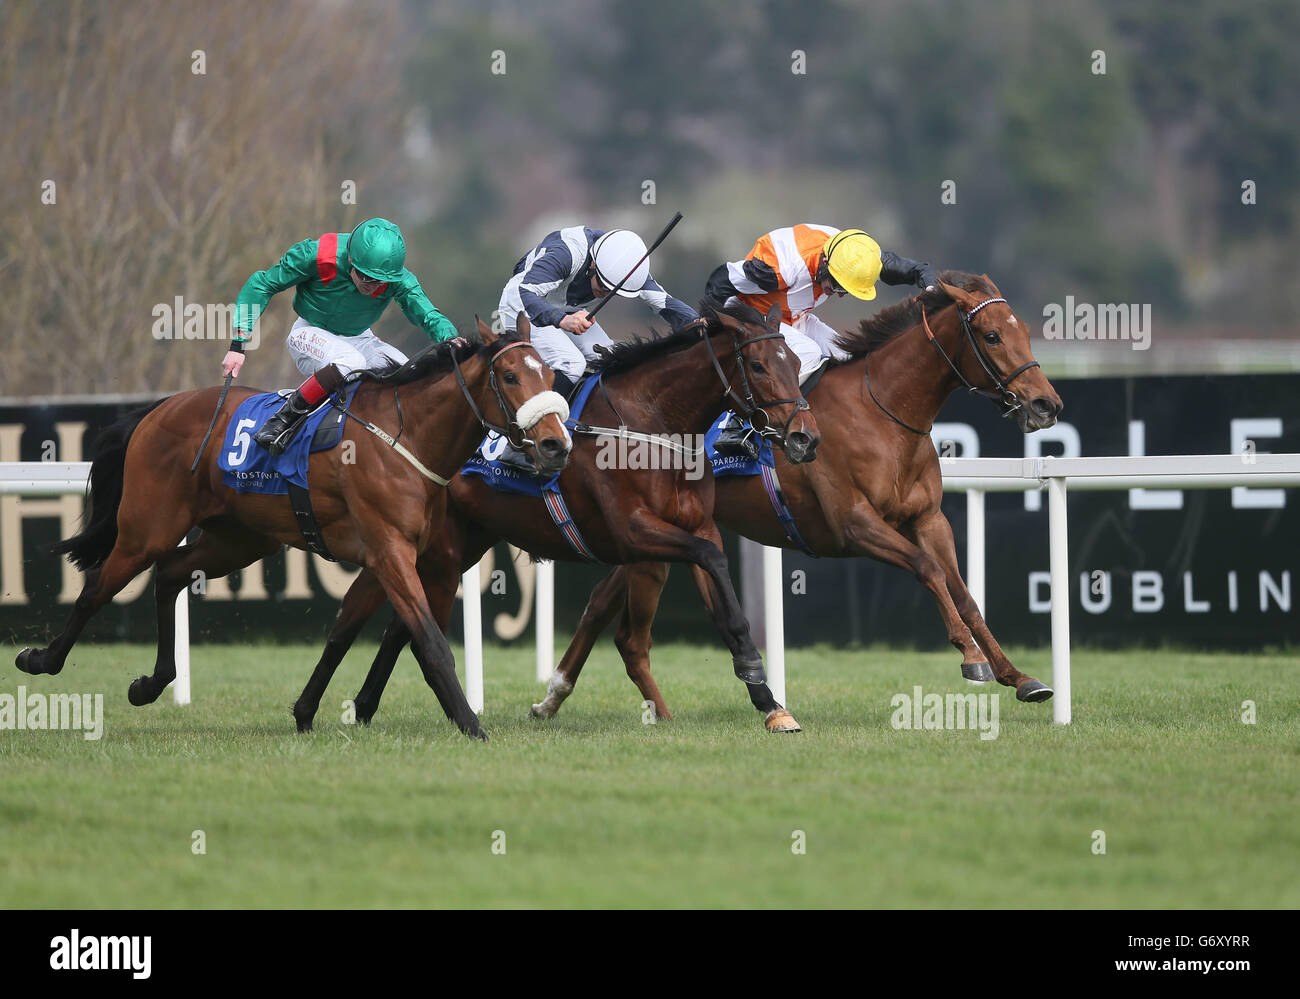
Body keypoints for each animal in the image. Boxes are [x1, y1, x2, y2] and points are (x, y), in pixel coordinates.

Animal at [13, 319, 564, 738]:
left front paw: (308, 713)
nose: (556, 444)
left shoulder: (403, 557)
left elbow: (352, 631)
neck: (406, 438)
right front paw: (471, 724)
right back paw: (42, 659)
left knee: (171, 573)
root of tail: (161, 407)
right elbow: (429, 641)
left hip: (239, 540)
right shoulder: (389, 551)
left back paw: (151, 682)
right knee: (97, 588)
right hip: (146, 527)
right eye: (509, 376)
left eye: (551, 374)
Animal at [289, 301, 821, 733]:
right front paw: (759, 681)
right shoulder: (633, 532)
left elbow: (725, 601)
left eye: (796, 363)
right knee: (381, 619)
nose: (805, 437)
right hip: (417, 545)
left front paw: (770, 703)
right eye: (758, 365)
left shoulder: (694, 526)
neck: (650, 424)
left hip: (453, 547)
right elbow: (710, 558)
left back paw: (362, 706)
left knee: (399, 625)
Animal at [527, 269, 1066, 723]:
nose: (1047, 404)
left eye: (1023, 330)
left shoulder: (929, 519)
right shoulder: (854, 524)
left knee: (600, 601)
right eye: (992, 336)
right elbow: (928, 570)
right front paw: (972, 659)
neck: (882, 411)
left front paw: (1020, 677)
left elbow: (964, 593)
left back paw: (551, 697)